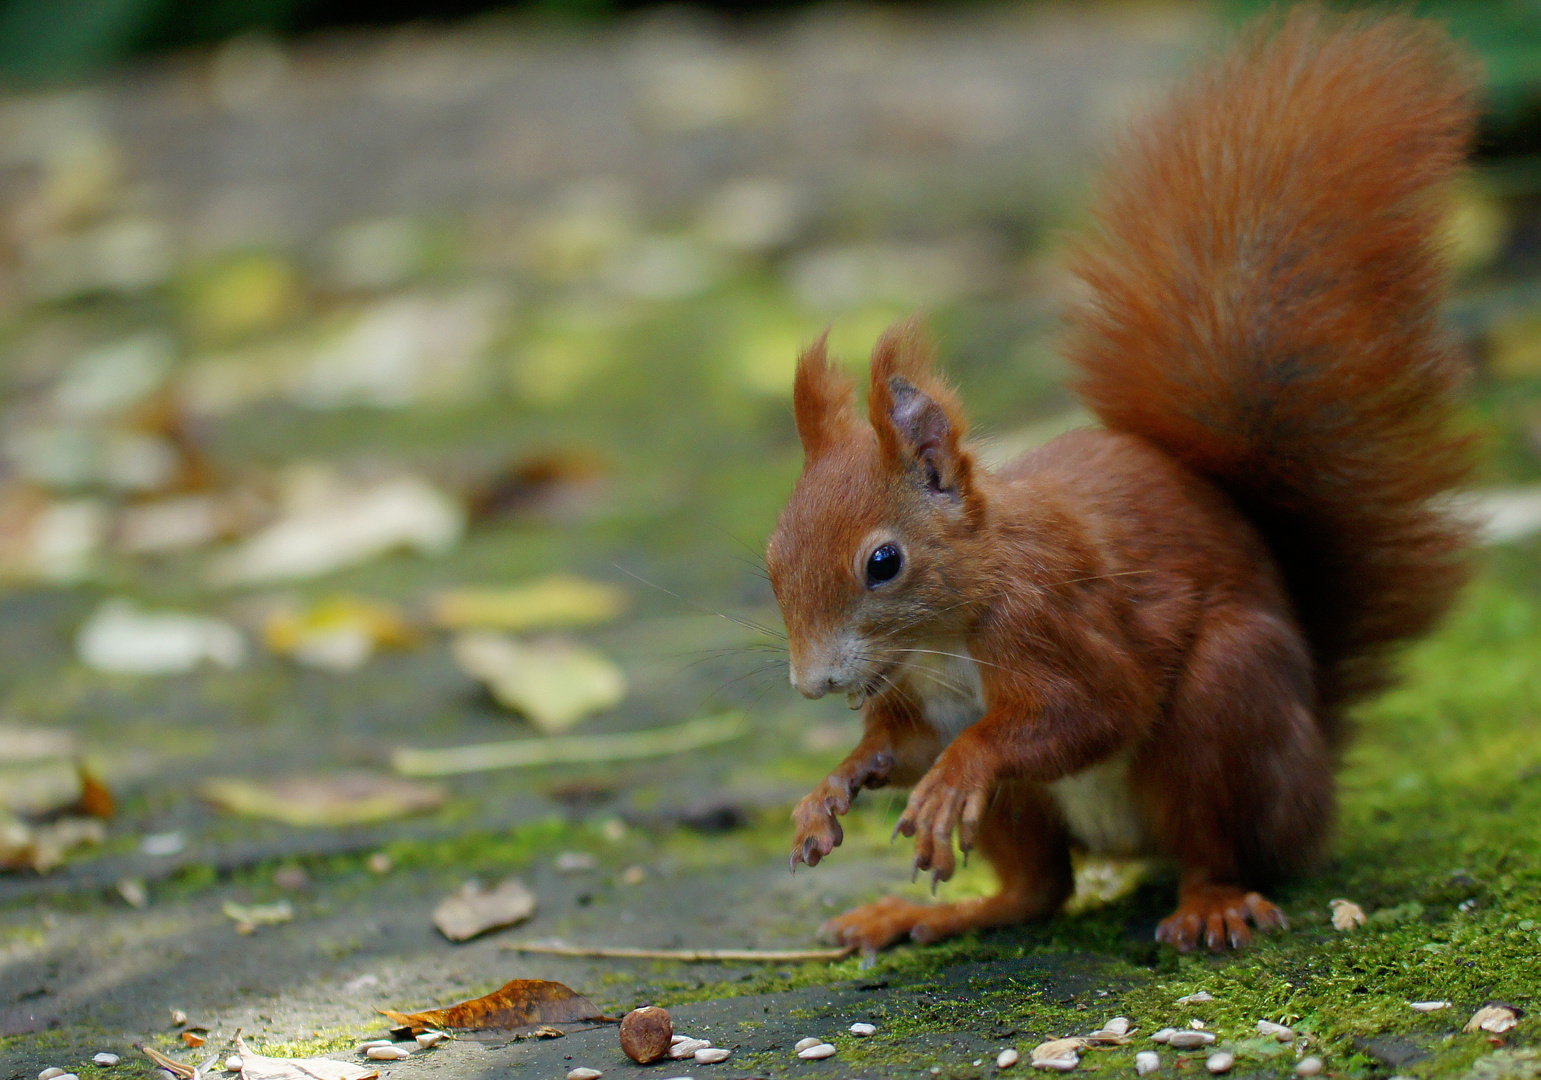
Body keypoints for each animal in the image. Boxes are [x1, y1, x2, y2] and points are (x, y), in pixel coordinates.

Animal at [770, 8, 1479, 949]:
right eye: (771, 559)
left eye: (882, 564)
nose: (810, 685)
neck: (949, 633)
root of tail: (1317, 780)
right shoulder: (922, 697)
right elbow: (902, 746)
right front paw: (828, 789)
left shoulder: (1058, 623)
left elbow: (1095, 711)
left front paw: (958, 769)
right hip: (1028, 811)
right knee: (1039, 891)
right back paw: (929, 912)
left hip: (1224, 712)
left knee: (1210, 843)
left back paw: (1210, 905)